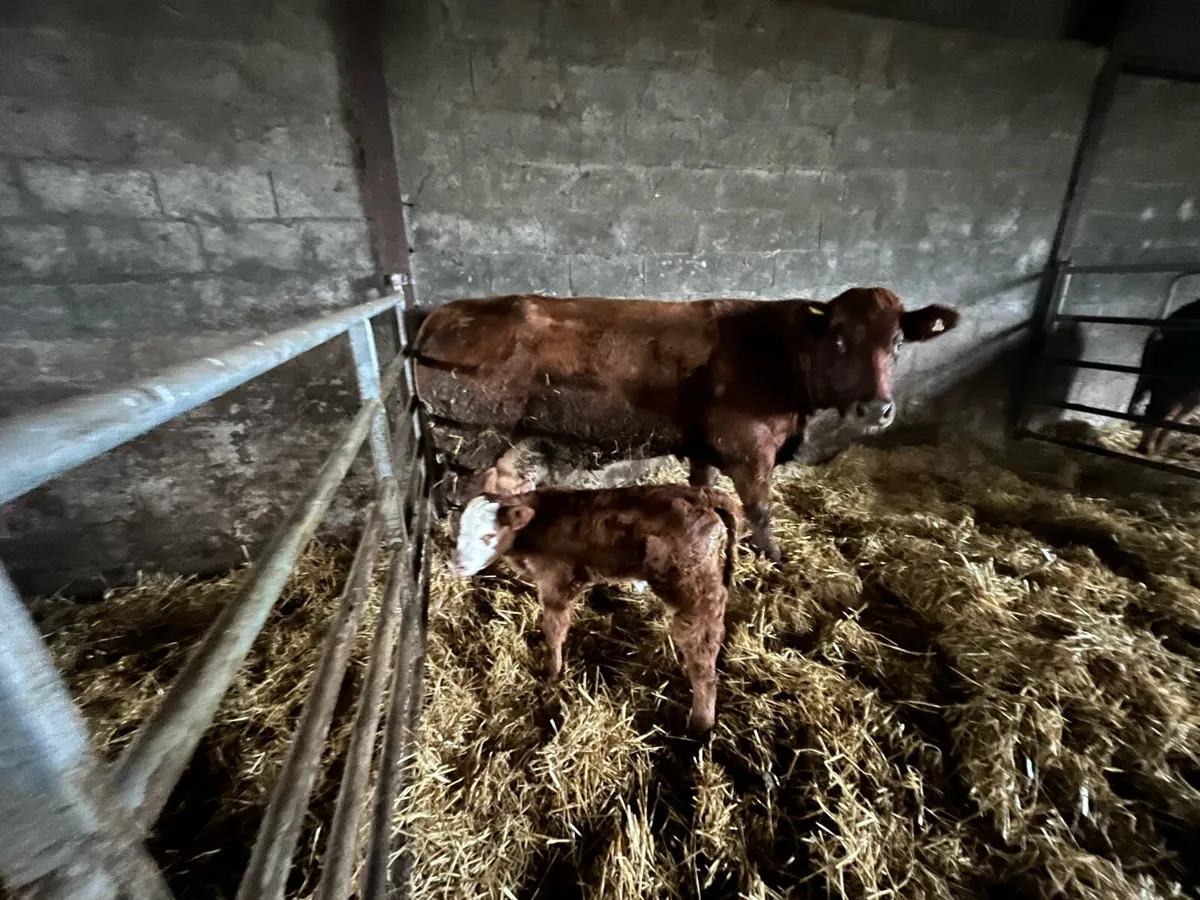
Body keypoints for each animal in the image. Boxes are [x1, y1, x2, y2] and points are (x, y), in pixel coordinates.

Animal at [415, 288, 960, 562]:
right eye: (841, 340)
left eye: (897, 342)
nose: (876, 409)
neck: (780, 356)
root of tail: (440, 315)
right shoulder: (747, 444)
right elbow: (761, 508)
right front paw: (774, 557)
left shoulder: (706, 447)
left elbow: (704, 489)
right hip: (469, 435)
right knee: (455, 493)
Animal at [453, 468, 742, 734]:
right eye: (460, 530)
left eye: (488, 537)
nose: (457, 566)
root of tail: (702, 495)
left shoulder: (556, 584)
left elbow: (554, 630)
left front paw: (551, 674)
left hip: (692, 590)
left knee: (701, 651)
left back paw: (699, 725)